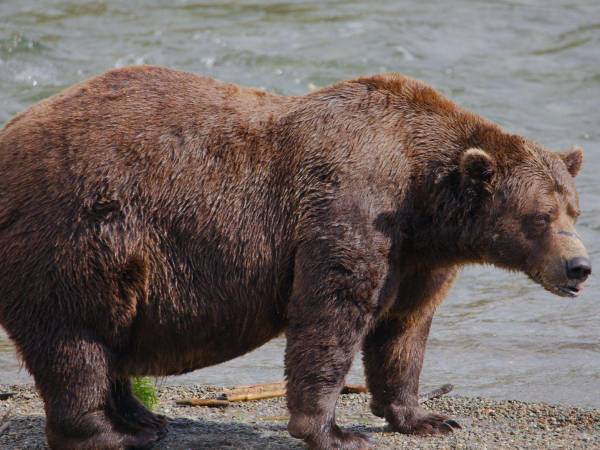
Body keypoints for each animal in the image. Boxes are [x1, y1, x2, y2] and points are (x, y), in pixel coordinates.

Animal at [0, 64, 592, 450]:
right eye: (541, 216)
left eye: (574, 209)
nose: (580, 267)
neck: (423, 199)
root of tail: (12, 131)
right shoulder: (351, 206)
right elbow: (330, 314)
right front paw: (335, 431)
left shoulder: (418, 257)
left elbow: (404, 329)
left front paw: (424, 416)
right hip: (80, 231)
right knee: (75, 337)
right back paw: (108, 433)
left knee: (109, 339)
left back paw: (143, 419)